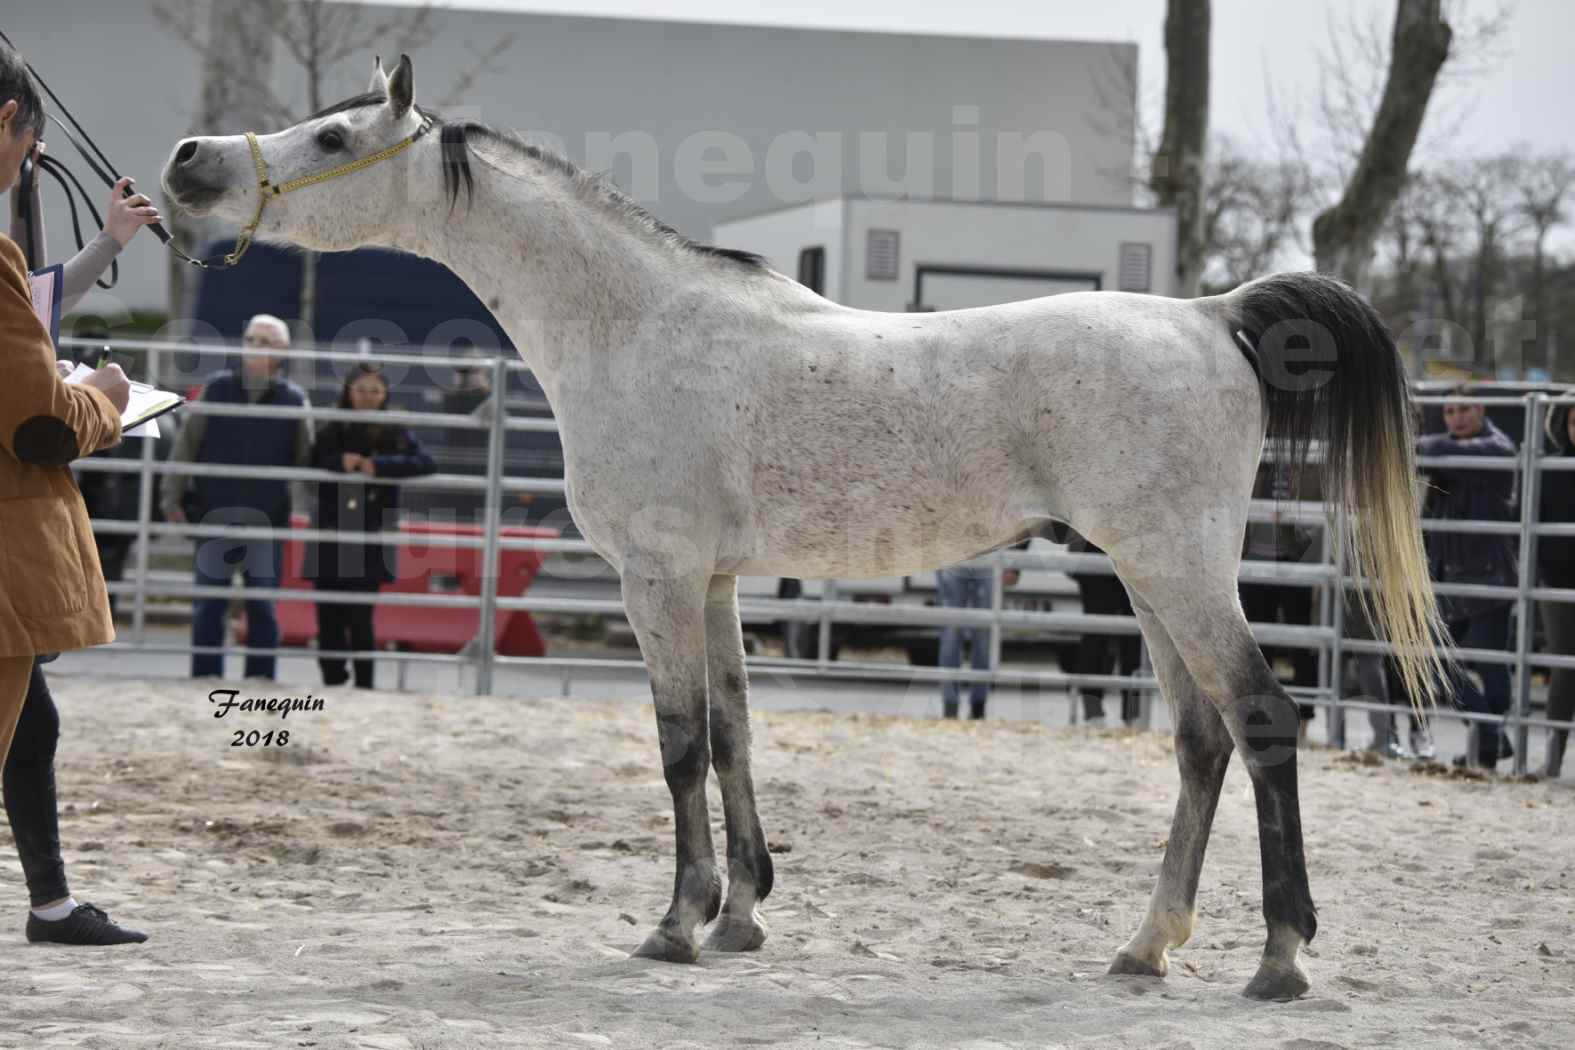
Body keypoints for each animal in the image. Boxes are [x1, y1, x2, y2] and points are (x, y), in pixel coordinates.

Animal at [166, 57, 1442, 1001]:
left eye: (335, 139)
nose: (189, 165)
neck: (633, 325)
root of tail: (1213, 317)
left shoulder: (657, 578)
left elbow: (680, 743)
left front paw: (676, 924)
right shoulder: (719, 582)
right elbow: (735, 734)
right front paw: (743, 915)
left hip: (1175, 571)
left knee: (1264, 720)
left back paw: (1278, 959)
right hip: (1145, 576)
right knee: (1201, 741)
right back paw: (1144, 947)